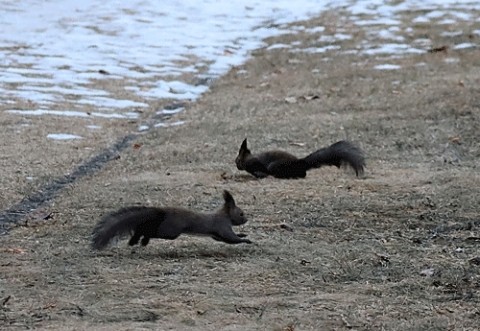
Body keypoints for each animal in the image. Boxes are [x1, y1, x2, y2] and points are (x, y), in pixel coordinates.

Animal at [91, 191, 253, 250]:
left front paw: (244, 235)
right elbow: (231, 238)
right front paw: (246, 240)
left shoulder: (217, 234)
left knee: (144, 227)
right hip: (170, 231)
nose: (246, 219)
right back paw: (142, 240)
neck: (225, 215)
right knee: (151, 231)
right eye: (241, 213)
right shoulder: (222, 226)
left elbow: (224, 239)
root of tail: (164, 212)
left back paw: (137, 240)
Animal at [235, 140, 364, 182]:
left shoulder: (255, 163)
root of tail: (302, 163)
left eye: (237, 160)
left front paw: (259, 175)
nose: (236, 165)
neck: (247, 159)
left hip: (276, 166)